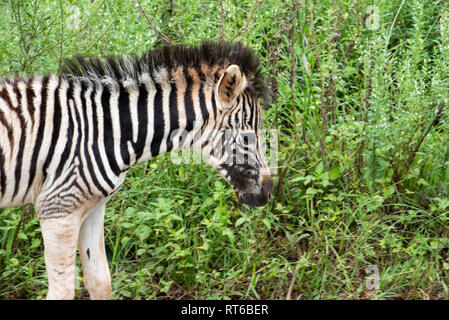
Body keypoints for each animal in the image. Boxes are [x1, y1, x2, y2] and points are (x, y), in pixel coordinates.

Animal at [0, 41, 272, 298]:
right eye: (248, 137)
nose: (267, 192)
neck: (108, 130)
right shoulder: (57, 209)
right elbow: (63, 291)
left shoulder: (91, 207)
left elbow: (100, 282)